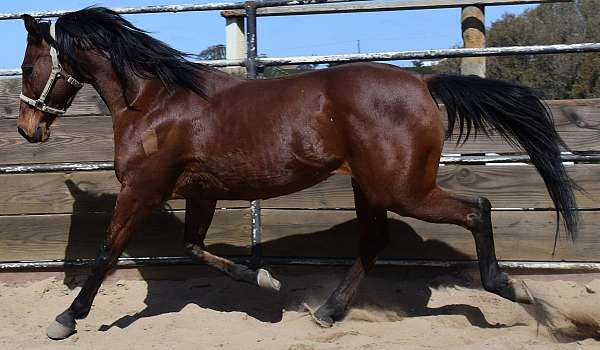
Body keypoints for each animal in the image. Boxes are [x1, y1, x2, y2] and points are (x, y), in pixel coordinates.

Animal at [16, 8, 580, 340]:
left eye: (25, 67)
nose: (26, 129)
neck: (155, 101)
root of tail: (423, 81)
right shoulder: (201, 192)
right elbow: (193, 248)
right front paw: (265, 280)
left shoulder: (141, 188)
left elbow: (108, 251)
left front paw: (66, 318)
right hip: (371, 188)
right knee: (373, 243)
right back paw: (327, 312)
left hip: (402, 189)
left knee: (476, 209)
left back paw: (510, 288)